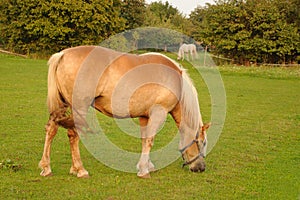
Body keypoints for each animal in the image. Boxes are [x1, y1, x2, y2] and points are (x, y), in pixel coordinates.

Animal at [38, 45, 210, 178]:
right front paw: (144, 171)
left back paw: (47, 168)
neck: (175, 81)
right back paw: (80, 170)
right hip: (79, 108)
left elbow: (144, 140)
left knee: (51, 130)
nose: (201, 168)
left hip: (62, 107)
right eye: (202, 143)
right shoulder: (158, 114)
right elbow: (150, 140)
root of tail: (63, 54)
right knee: (73, 134)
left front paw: (146, 166)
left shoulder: (144, 117)